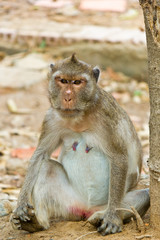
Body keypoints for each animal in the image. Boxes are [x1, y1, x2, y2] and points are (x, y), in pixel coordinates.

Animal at [10, 53, 150, 235]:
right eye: (63, 80)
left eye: (77, 82)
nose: (67, 96)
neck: (80, 116)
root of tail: (86, 210)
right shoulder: (51, 118)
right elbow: (40, 155)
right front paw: (20, 204)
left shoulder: (107, 118)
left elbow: (119, 158)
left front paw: (112, 218)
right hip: (68, 204)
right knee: (47, 166)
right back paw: (37, 223)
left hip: (108, 203)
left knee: (144, 195)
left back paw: (101, 217)